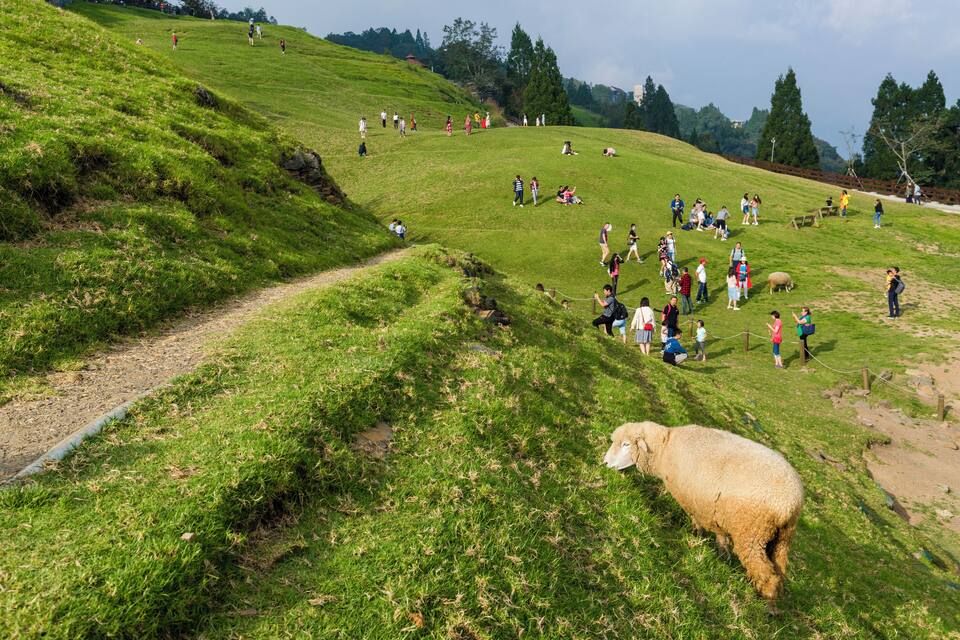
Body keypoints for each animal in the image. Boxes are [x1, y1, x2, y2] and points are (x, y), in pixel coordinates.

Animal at [603, 421, 803, 601]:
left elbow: (696, 519)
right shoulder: (714, 509)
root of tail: (790, 502)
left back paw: (766, 604)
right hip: (782, 539)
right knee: (779, 571)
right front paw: (722, 554)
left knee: (767, 575)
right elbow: (720, 534)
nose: (604, 463)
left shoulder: (691, 499)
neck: (665, 447)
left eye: (626, 444)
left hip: (751, 535)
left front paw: (696, 535)